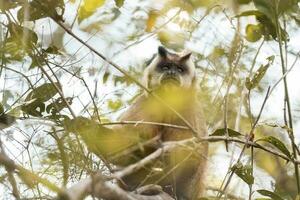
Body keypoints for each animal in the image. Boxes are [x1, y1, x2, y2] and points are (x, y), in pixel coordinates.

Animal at [67, 46, 209, 199]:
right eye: (166, 67)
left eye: (179, 69)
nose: (171, 72)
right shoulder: (147, 102)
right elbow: (124, 145)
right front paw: (87, 128)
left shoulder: (188, 108)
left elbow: (190, 155)